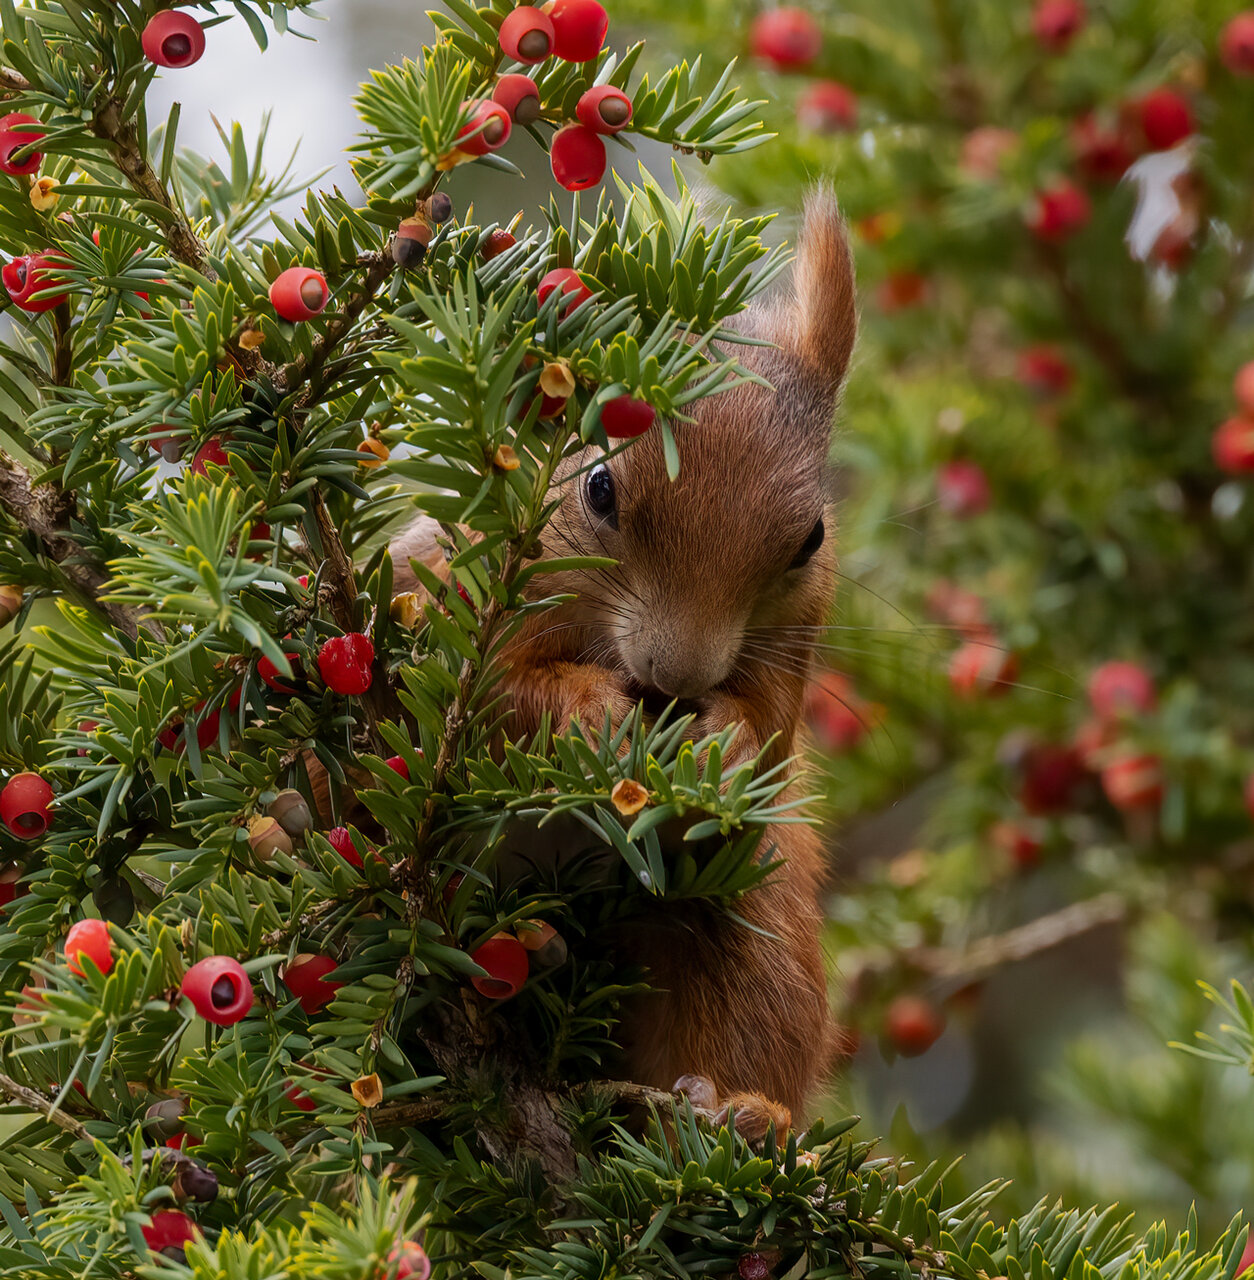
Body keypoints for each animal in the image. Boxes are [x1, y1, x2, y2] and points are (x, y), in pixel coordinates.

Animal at [386, 189, 854, 1131]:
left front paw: (727, 743)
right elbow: (488, 698)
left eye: (810, 538)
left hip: (751, 921)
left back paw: (740, 1111)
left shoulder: (798, 636)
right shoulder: (455, 595)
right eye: (599, 489)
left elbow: (772, 735)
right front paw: (587, 712)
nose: (678, 678)